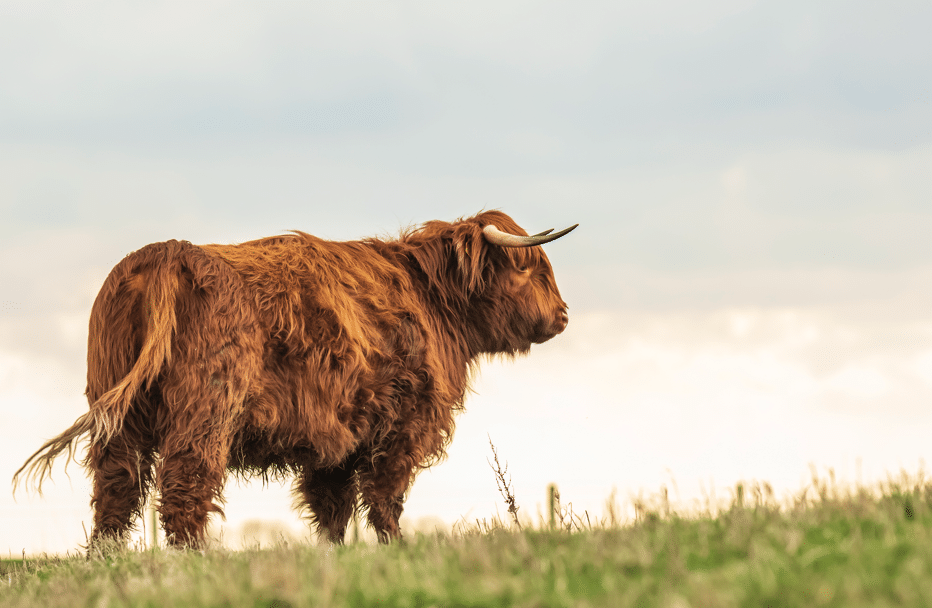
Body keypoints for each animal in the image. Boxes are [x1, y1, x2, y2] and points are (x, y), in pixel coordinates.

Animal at [13, 210, 576, 549]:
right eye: (528, 268)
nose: (564, 315)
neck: (431, 299)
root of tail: (169, 254)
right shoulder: (401, 427)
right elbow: (384, 497)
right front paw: (396, 549)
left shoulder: (337, 437)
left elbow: (333, 507)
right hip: (205, 410)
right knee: (184, 487)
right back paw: (193, 560)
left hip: (118, 414)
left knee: (116, 489)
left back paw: (106, 558)